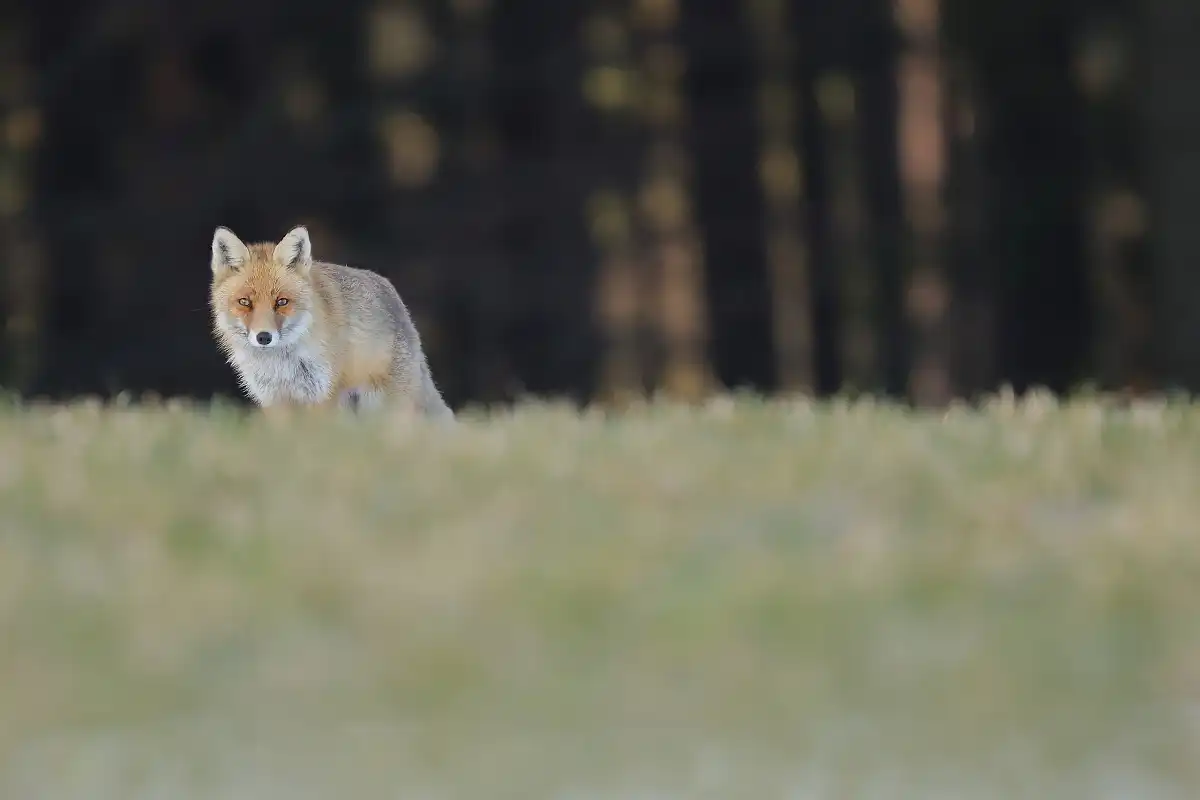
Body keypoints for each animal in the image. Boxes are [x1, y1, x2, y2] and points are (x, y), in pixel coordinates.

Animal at [208, 224, 453, 420]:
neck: (281, 365)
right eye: (244, 302)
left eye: (282, 302)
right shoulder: (274, 399)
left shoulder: (322, 395)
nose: (264, 337)